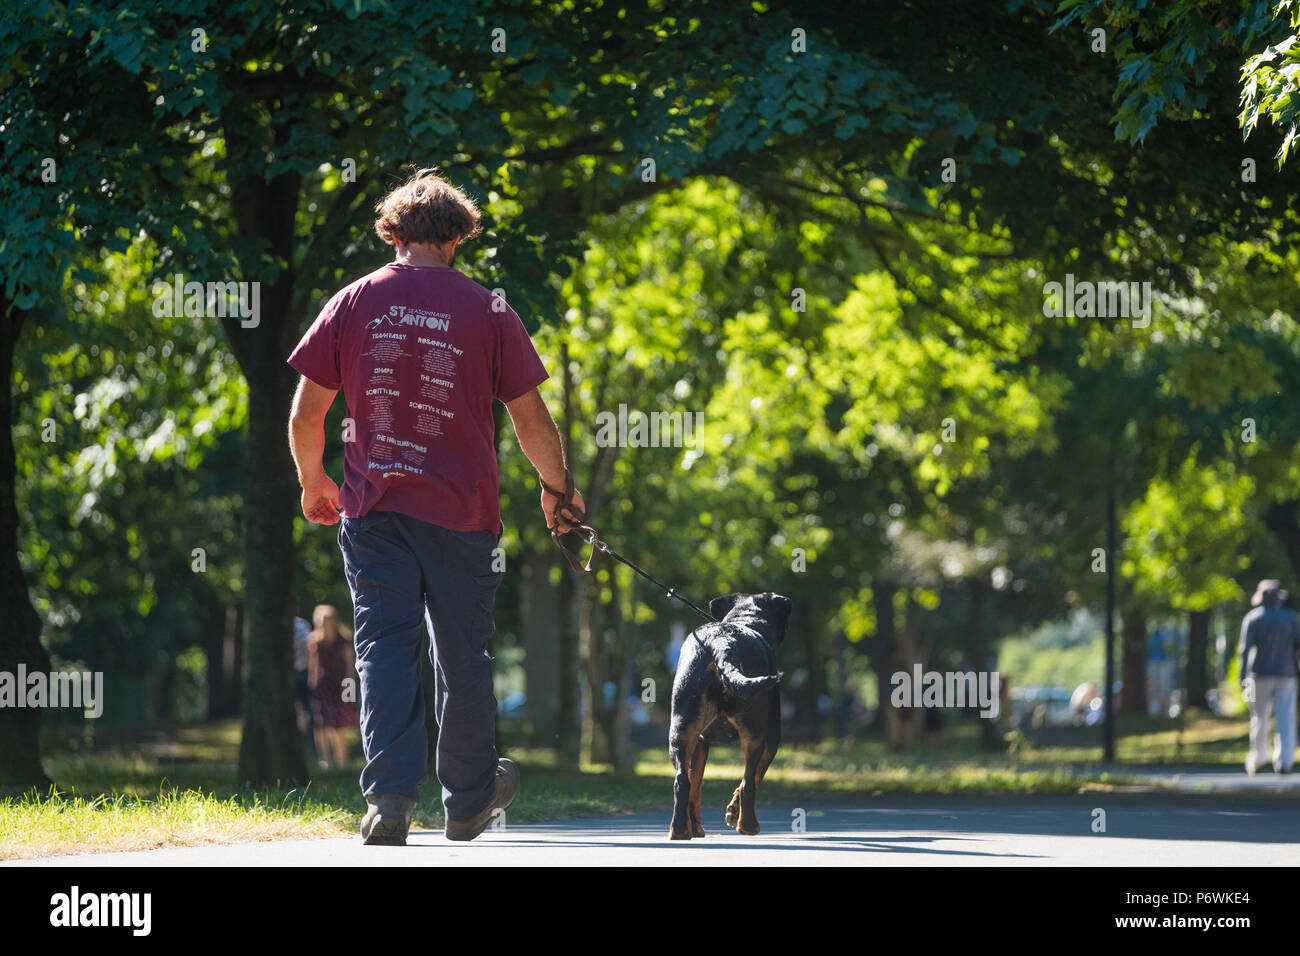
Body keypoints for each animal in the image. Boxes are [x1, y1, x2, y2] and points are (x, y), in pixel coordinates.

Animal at [670, 590, 790, 837]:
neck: (744, 621)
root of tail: (723, 643)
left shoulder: (701, 742)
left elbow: (696, 785)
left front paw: (696, 826)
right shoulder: (772, 740)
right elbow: (755, 777)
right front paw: (734, 811)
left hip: (681, 730)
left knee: (683, 780)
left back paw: (680, 830)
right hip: (755, 734)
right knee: (748, 782)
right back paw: (748, 826)